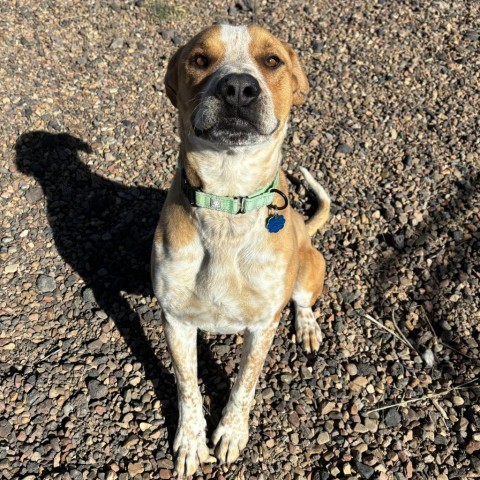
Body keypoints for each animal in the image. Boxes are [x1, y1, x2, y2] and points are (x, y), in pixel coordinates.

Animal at [151, 25, 330, 476]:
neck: (227, 201)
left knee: (304, 302)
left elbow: (243, 386)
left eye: (272, 61)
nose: (237, 88)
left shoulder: (263, 325)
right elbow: (187, 388)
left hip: (311, 268)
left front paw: (230, 434)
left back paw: (307, 327)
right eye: (199, 59)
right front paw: (191, 443)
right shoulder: (176, 321)